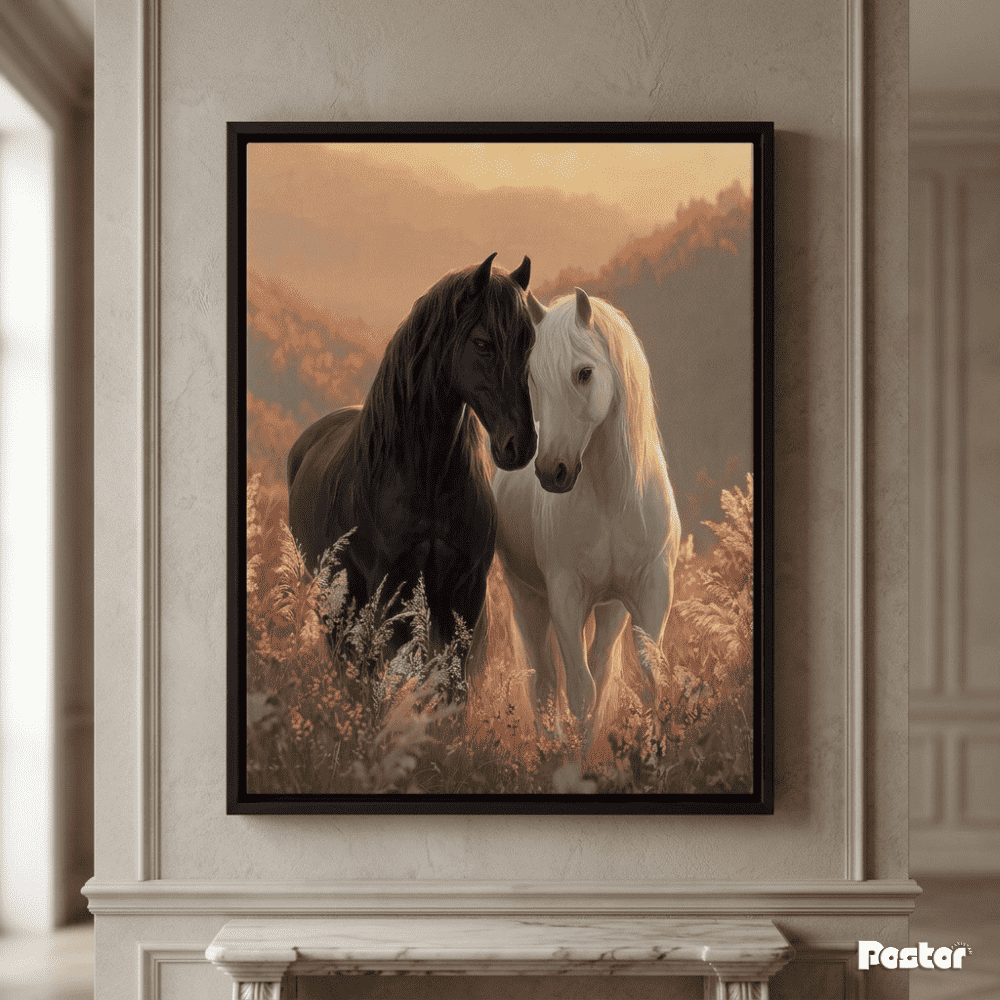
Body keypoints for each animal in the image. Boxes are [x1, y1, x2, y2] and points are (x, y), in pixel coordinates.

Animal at [287, 253, 537, 673]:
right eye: (482, 343)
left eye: (529, 342)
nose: (521, 444)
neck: (425, 478)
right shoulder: (393, 590)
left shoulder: (465, 595)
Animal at [492, 287, 681, 741]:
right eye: (532, 377)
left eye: (584, 373)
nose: (551, 472)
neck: (613, 500)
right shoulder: (565, 595)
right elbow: (579, 692)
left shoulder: (652, 590)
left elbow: (648, 683)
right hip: (529, 599)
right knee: (544, 682)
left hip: (611, 609)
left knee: (598, 665)